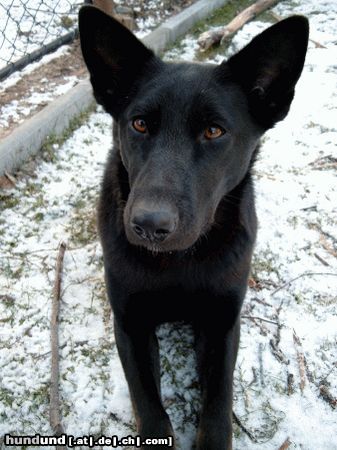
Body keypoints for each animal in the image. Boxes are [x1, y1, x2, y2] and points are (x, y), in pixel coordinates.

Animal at [79, 7, 308, 450]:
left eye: (214, 131)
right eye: (139, 124)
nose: (149, 225)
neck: (178, 262)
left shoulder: (222, 324)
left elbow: (217, 410)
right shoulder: (130, 325)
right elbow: (149, 408)